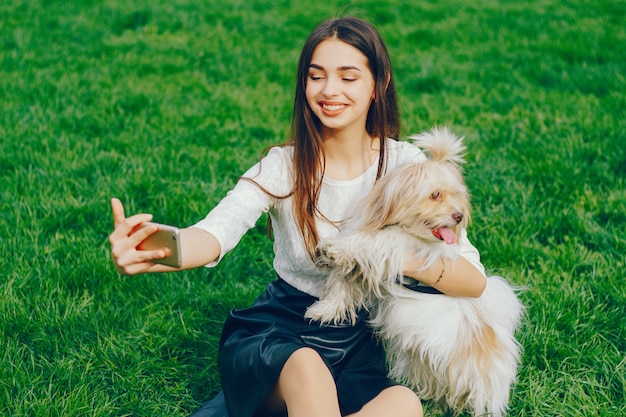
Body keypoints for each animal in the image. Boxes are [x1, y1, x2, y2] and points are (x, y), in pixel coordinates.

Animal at [304, 127, 520, 416]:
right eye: (435, 195)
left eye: (457, 195)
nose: (459, 215)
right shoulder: (365, 268)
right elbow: (342, 284)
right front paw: (323, 310)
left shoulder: (396, 249)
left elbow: (371, 243)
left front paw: (335, 248)